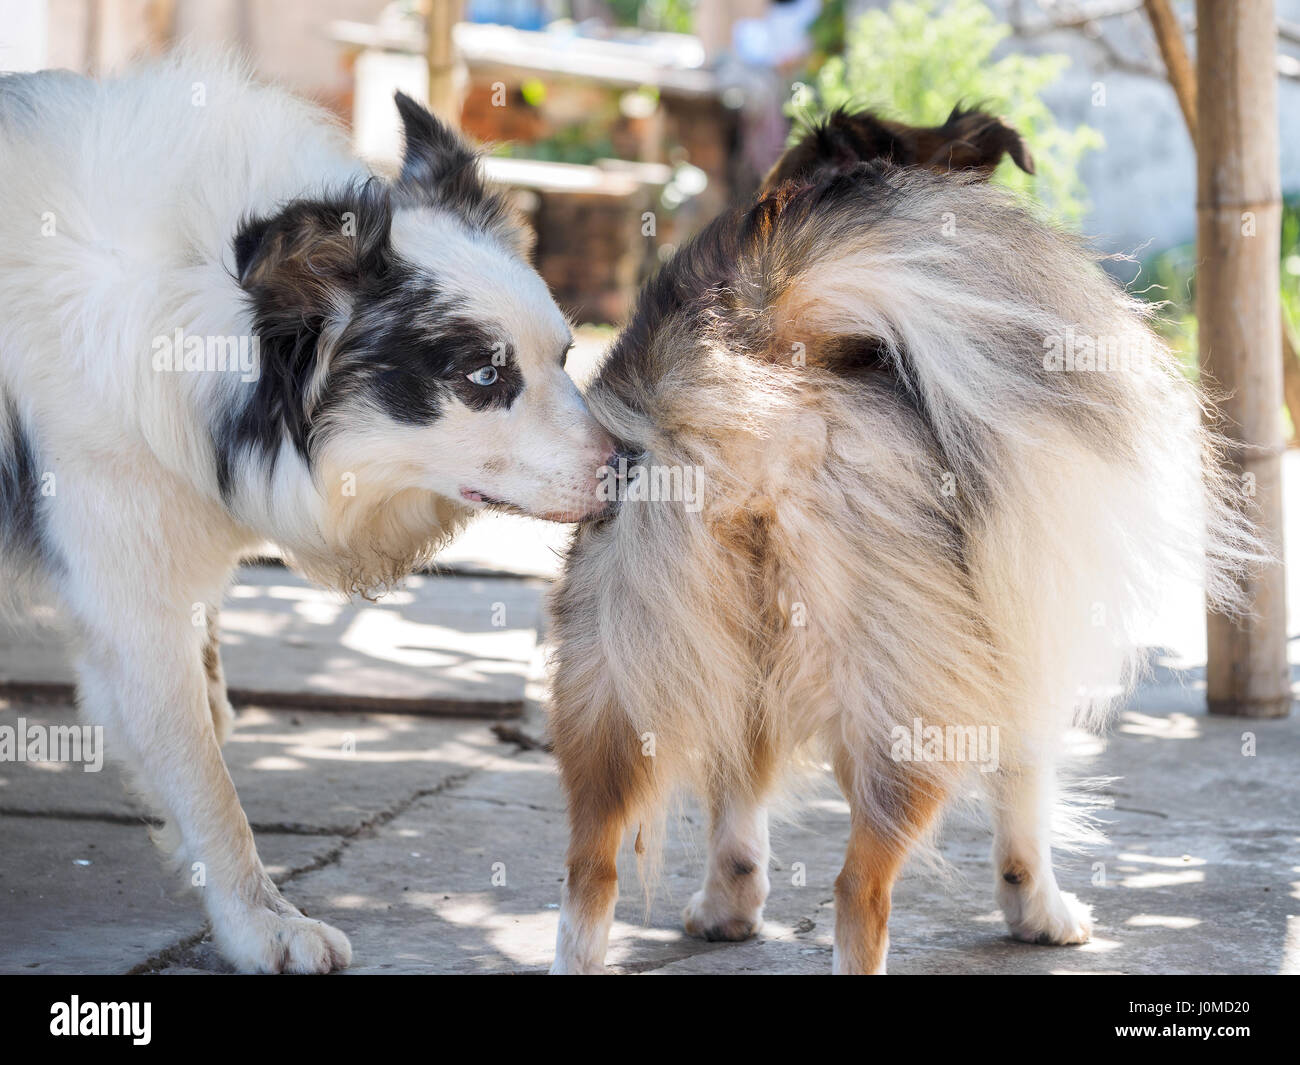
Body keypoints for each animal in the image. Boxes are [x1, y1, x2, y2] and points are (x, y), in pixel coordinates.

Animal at [0, 58, 613, 972]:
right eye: (482, 376)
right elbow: (205, 780)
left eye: (566, 356)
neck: (200, 313)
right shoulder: (129, 590)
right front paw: (264, 924)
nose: (638, 466)